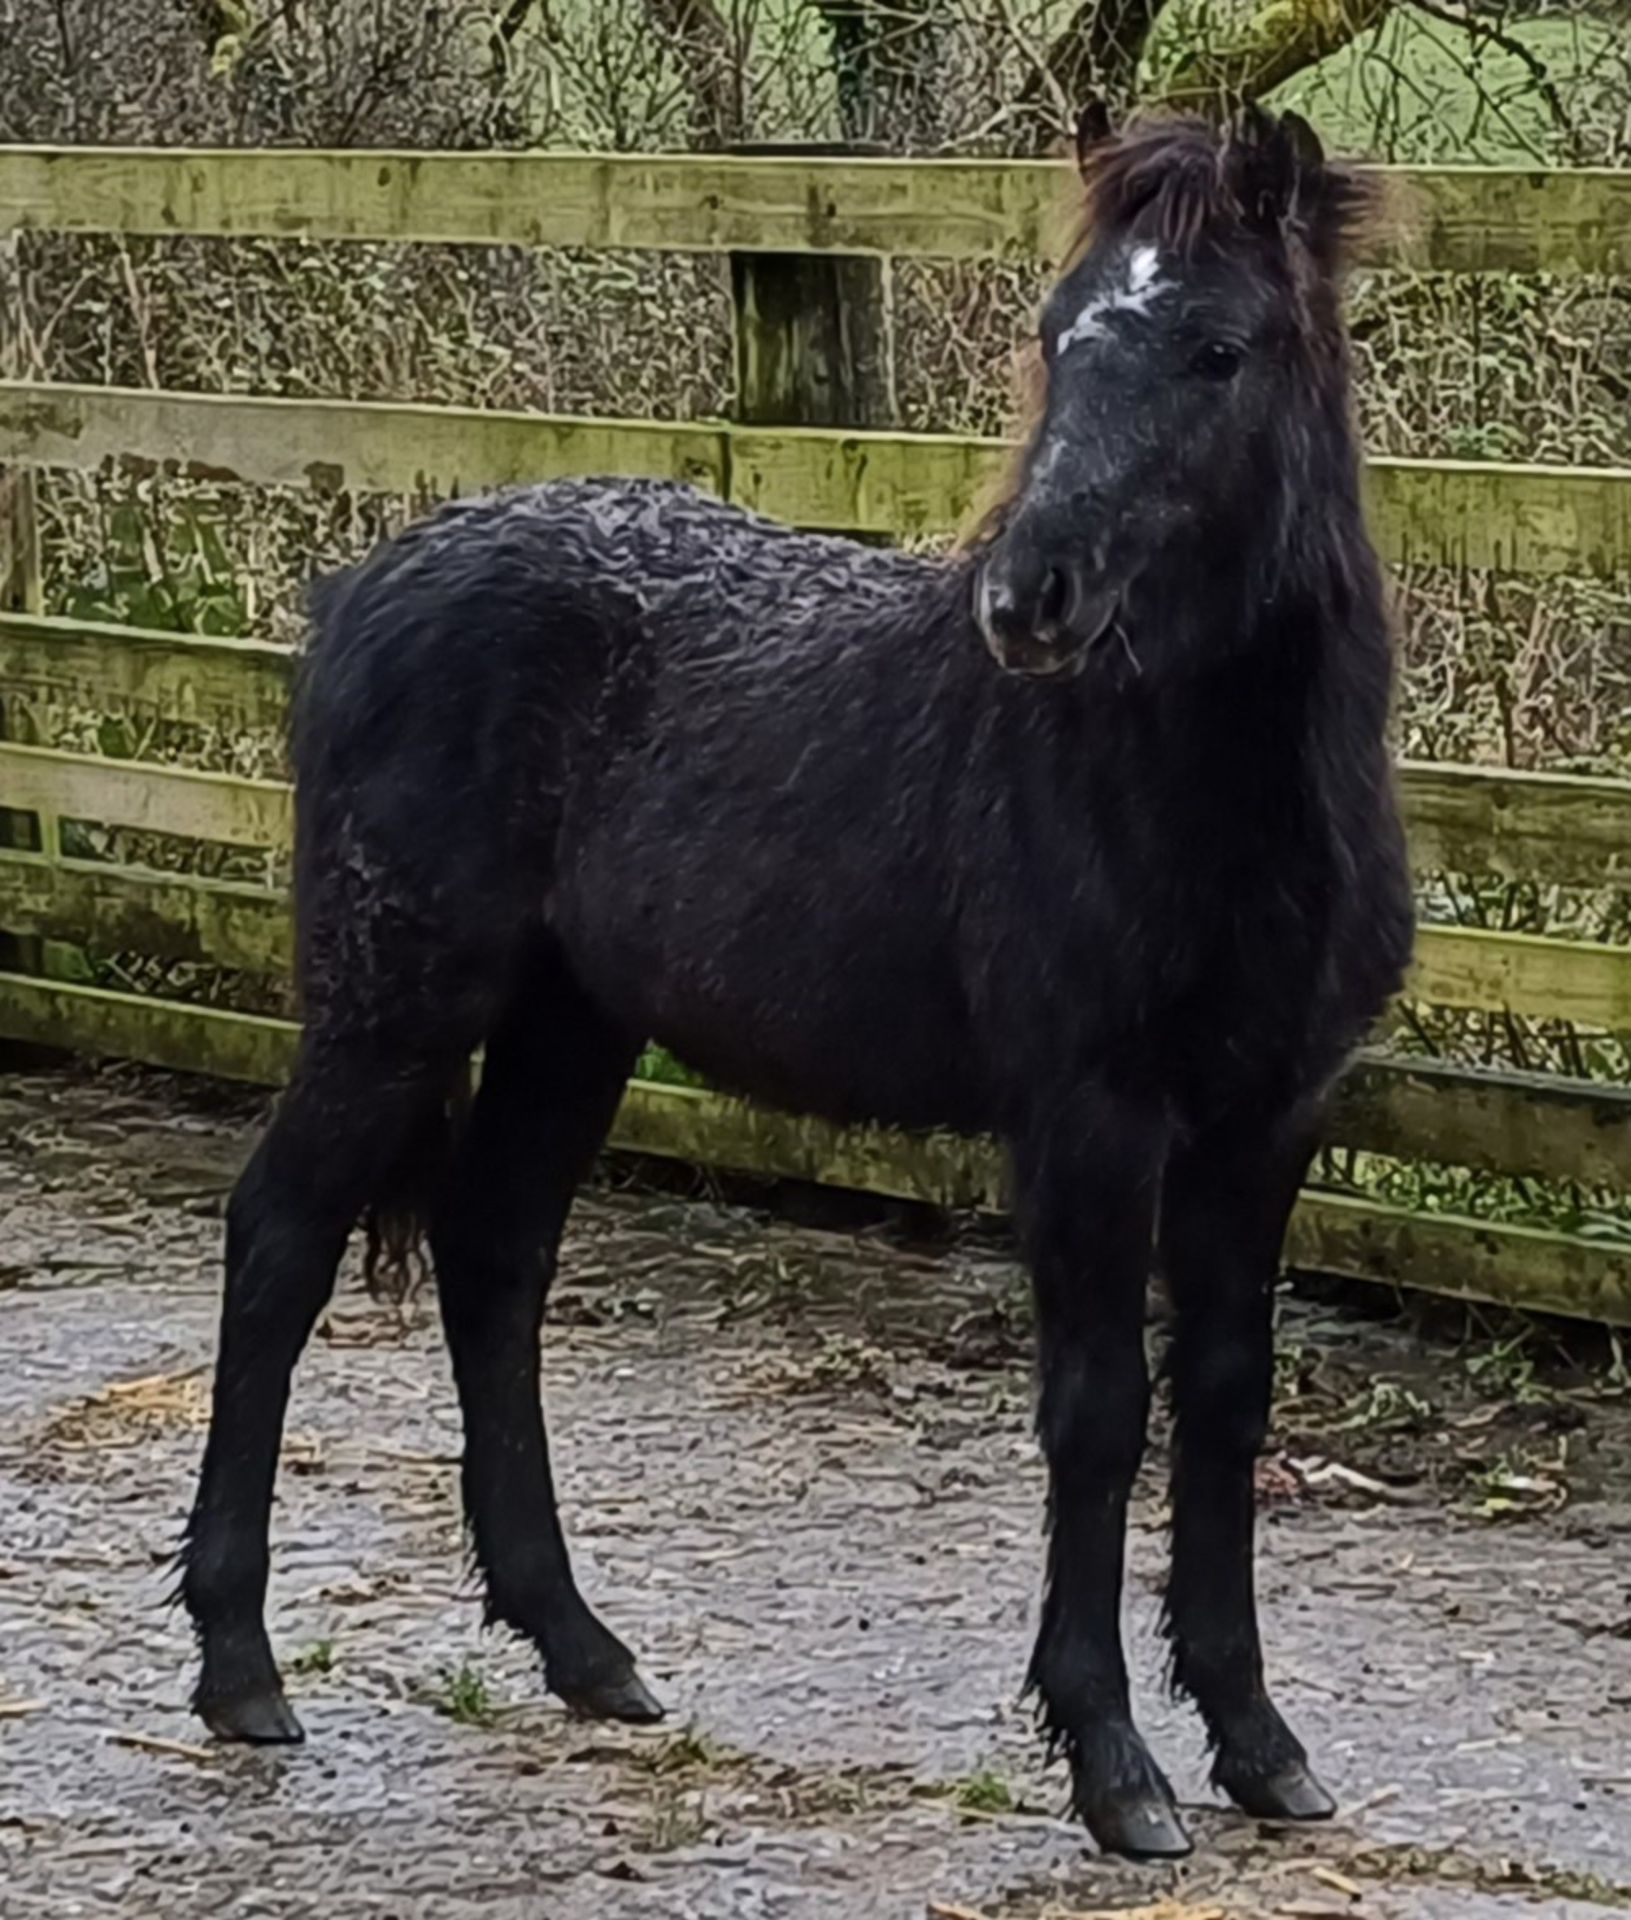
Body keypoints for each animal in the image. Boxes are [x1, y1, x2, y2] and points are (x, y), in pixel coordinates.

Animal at [179, 103, 1414, 1859]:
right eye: (1057, 332)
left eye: (1216, 348)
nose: (1025, 600)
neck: (1188, 789)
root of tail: (364, 589)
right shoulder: (1086, 1119)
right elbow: (1098, 1411)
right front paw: (1112, 1765)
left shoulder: (1267, 1120)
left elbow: (1227, 1404)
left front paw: (1255, 1745)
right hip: (394, 1006)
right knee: (279, 1242)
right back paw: (239, 1667)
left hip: (569, 1023)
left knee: (494, 1258)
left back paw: (582, 1649)